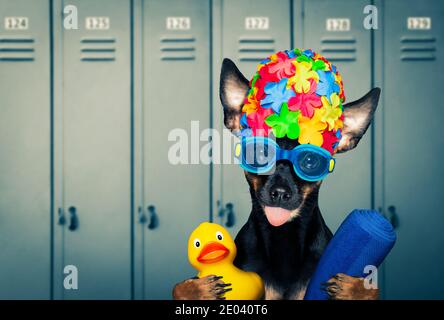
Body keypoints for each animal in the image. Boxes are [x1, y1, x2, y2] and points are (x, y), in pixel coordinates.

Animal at [173, 59, 382, 300]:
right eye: (259, 153)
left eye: (310, 161)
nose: (280, 193)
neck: (283, 238)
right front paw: (196, 289)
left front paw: (353, 287)